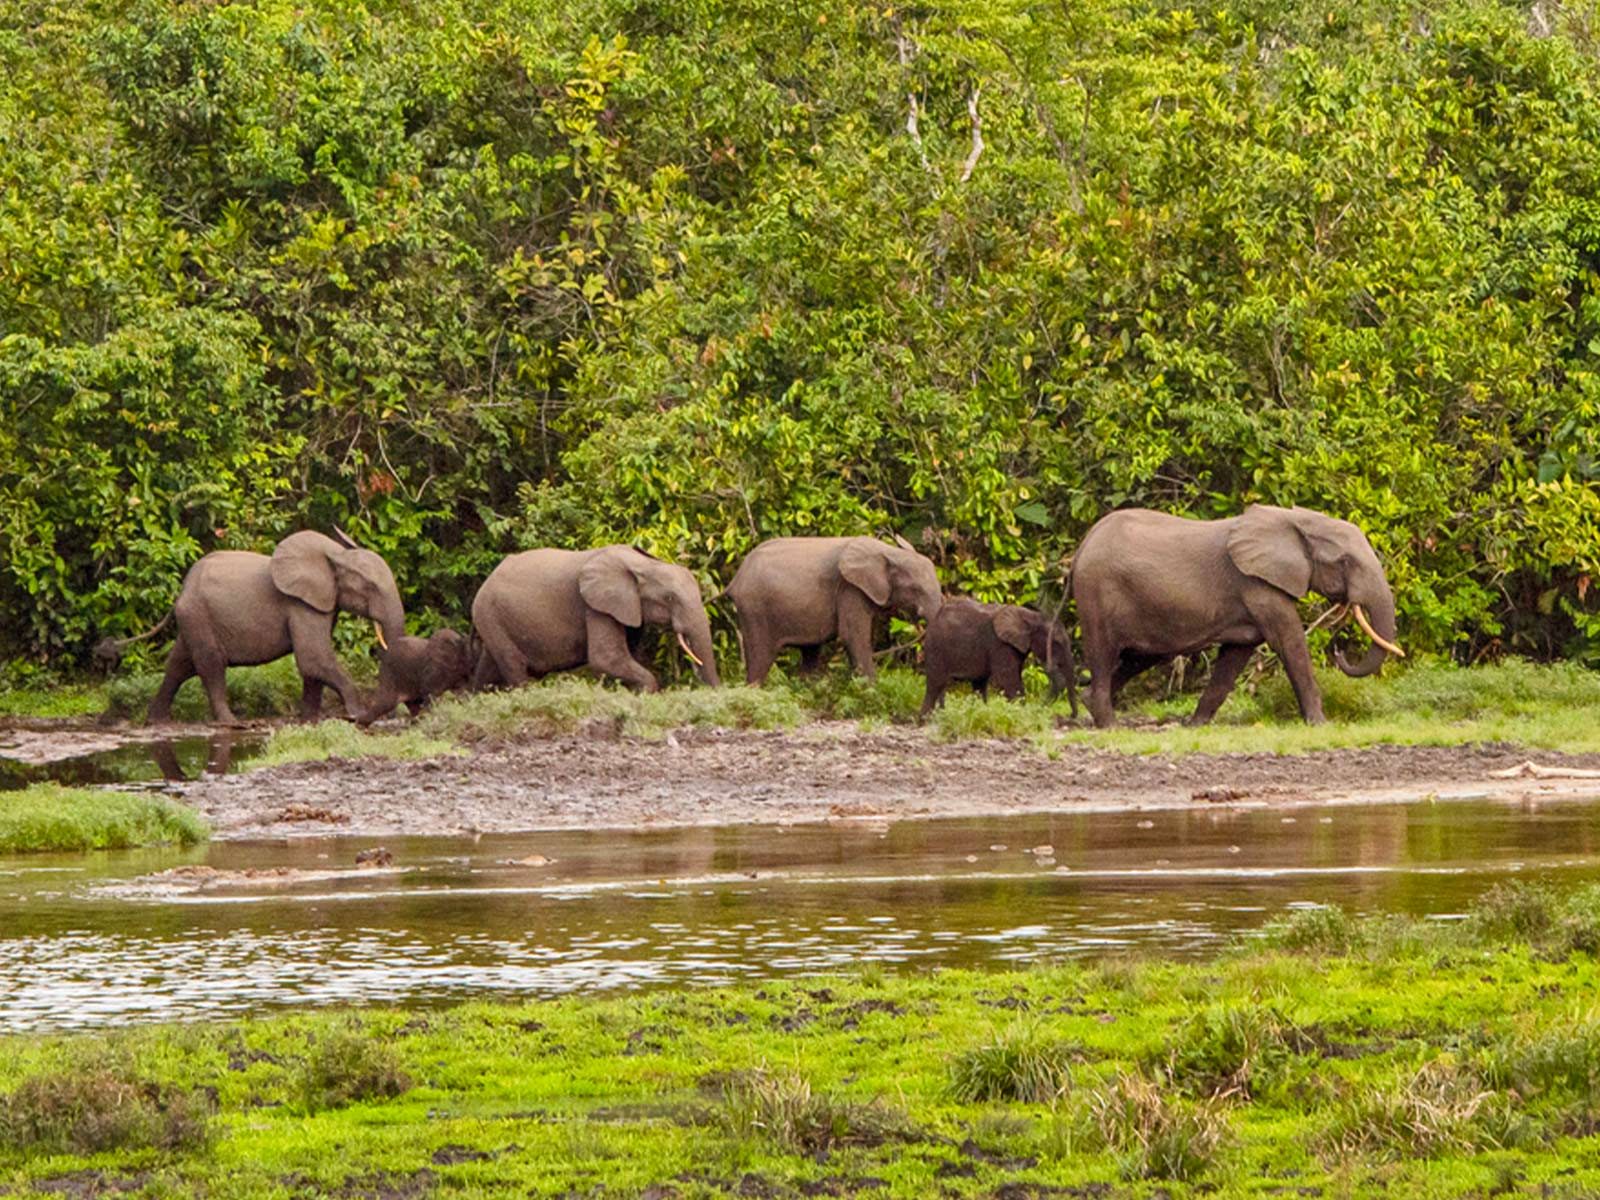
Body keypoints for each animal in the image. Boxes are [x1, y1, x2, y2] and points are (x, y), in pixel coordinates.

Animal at [146, 529, 406, 725]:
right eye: (370, 586)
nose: (392, 717)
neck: (336, 555)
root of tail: (183, 589)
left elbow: (312, 665)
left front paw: (308, 721)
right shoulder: (300, 604)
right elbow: (313, 658)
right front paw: (355, 714)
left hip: (193, 618)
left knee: (179, 665)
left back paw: (157, 721)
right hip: (198, 615)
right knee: (210, 664)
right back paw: (232, 724)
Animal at [470, 545, 720, 692]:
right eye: (669, 598)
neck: (643, 563)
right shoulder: (596, 605)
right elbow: (605, 658)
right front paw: (644, 693)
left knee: (490, 667)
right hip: (489, 615)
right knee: (514, 667)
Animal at [726, 535, 943, 684]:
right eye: (916, 589)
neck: (889, 552)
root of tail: (735, 578)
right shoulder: (850, 589)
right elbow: (853, 637)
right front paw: (874, 690)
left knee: (810, 652)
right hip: (755, 609)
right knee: (761, 657)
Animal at [920, 597, 1079, 719]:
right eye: (1056, 643)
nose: (1070, 715)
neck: (1031, 617)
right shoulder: (1000, 644)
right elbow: (1009, 680)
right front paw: (1021, 714)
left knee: (979, 685)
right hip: (936, 648)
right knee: (936, 684)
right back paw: (926, 721)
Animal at [1070, 505, 1404, 727]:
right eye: (1345, 561)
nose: (1338, 649)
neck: (1296, 521)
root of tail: (1083, 544)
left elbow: (1235, 656)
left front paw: (1196, 726)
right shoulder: (1257, 585)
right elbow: (1290, 642)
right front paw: (1321, 725)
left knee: (1140, 657)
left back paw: (1091, 706)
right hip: (1095, 592)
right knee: (1102, 654)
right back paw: (1109, 725)